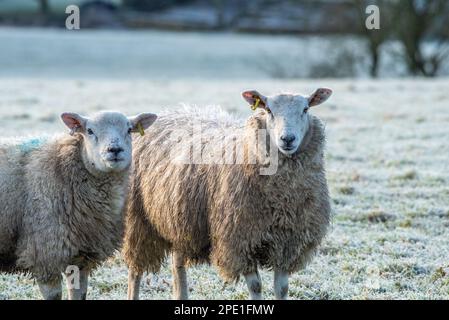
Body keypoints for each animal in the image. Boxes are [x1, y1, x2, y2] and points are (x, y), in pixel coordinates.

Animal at [0, 110, 158, 300]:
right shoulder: (45, 255)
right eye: (89, 131)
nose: (114, 150)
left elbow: (79, 294)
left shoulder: (82, 257)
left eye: (129, 129)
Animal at [122, 87, 332, 300]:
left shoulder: (287, 243)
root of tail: (168, 114)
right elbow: (256, 286)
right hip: (138, 219)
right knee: (135, 270)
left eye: (305, 109)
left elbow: (282, 288)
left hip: (180, 218)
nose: (287, 139)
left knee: (177, 264)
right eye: (268, 110)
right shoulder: (238, 241)